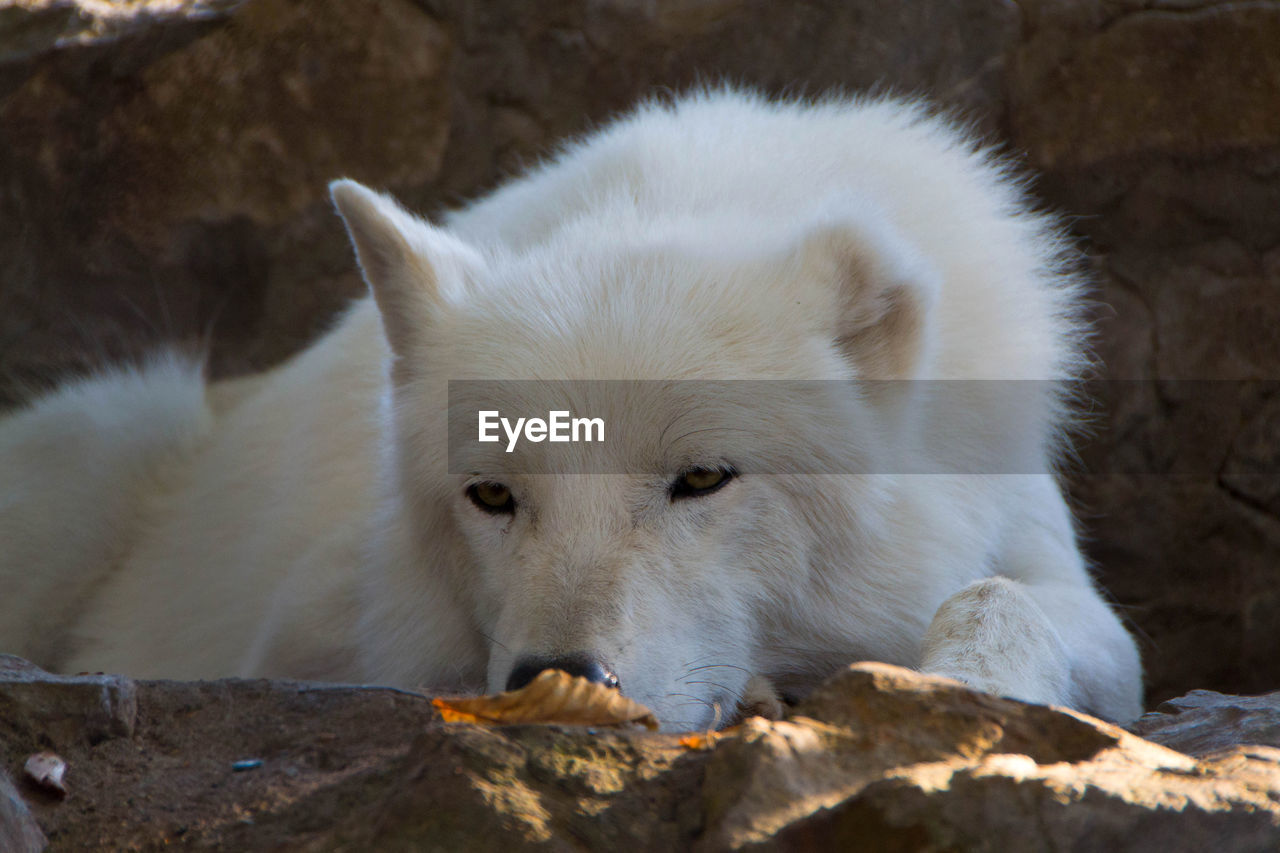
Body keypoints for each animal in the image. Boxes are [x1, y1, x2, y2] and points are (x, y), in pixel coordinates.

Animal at [0, 89, 1141, 722]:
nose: (559, 678)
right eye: (492, 494)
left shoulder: (1049, 566)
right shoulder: (304, 637)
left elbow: (1008, 597)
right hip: (109, 438)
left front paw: (965, 685)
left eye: (701, 479)